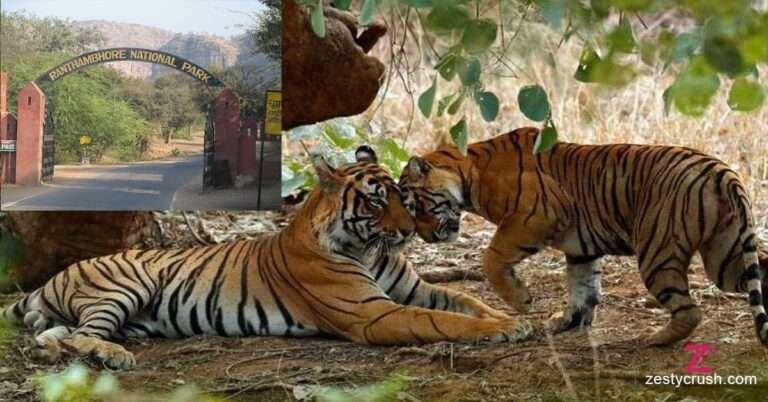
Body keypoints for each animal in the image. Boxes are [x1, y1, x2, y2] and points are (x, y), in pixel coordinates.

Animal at [1, 146, 530, 369]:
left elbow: (467, 301)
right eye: (376, 201)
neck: (368, 248)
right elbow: (446, 321)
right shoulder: (373, 313)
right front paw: (505, 328)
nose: (405, 232)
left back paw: (50, 349)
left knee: (60, 334)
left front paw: (512, 316)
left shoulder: (418, 288)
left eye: (403, 195)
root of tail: (52, 279)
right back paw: (112, 356)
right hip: (124, 284)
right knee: (83, 335)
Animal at [398, 127, 768, 347]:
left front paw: (522, 301)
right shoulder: (581, 247)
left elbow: (491, 258)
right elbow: (582, 286)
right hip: (725, 253)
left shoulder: (533, 217)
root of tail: (721, 171)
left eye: (415, 206)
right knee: (760, 270)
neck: (469, 172)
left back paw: (654, 339)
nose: (425, 237)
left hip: (657, 251)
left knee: (690, 311)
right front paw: (568, 321)